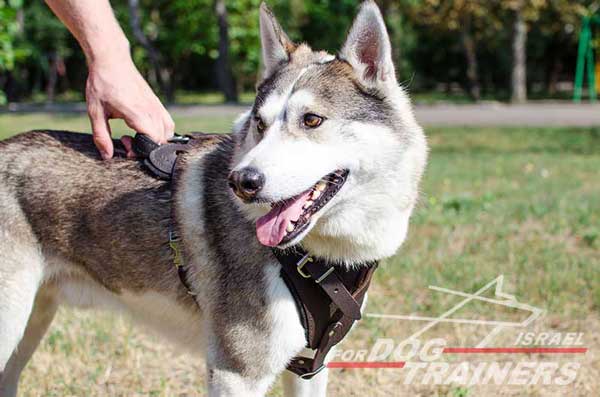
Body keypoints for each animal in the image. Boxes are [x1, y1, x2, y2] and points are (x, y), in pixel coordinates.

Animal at [0, 1, 426, 394]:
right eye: (260, 123)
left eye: (312, 120)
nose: (242, 181)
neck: (319, 259)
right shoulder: (235, 374)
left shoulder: (311, 366)